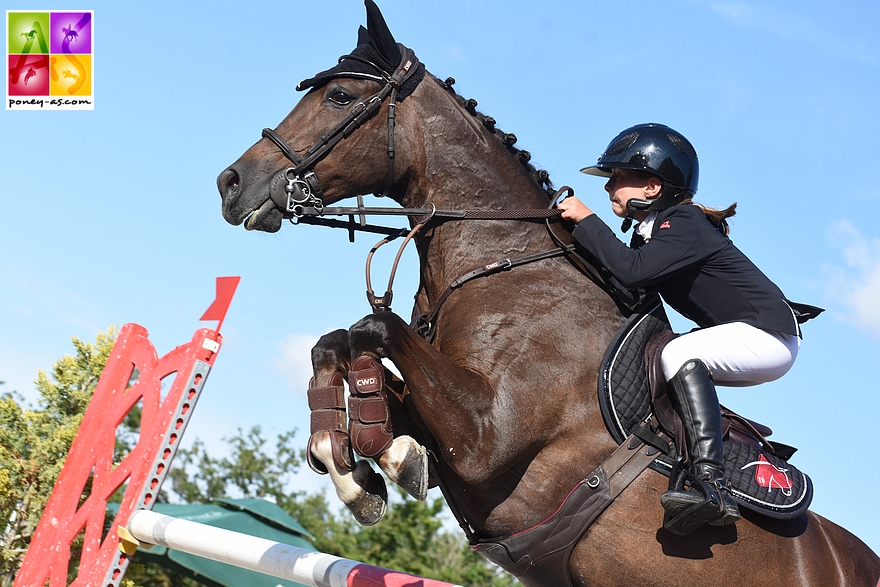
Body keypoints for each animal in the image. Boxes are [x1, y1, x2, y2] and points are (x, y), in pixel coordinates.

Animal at [215, 2, 880, 584]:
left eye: (340, 97)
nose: (232, 183)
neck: (504, 261)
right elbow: (334, 343)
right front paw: (353, 464)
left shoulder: (487, 438)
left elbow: (372, 328)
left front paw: (384, 457)